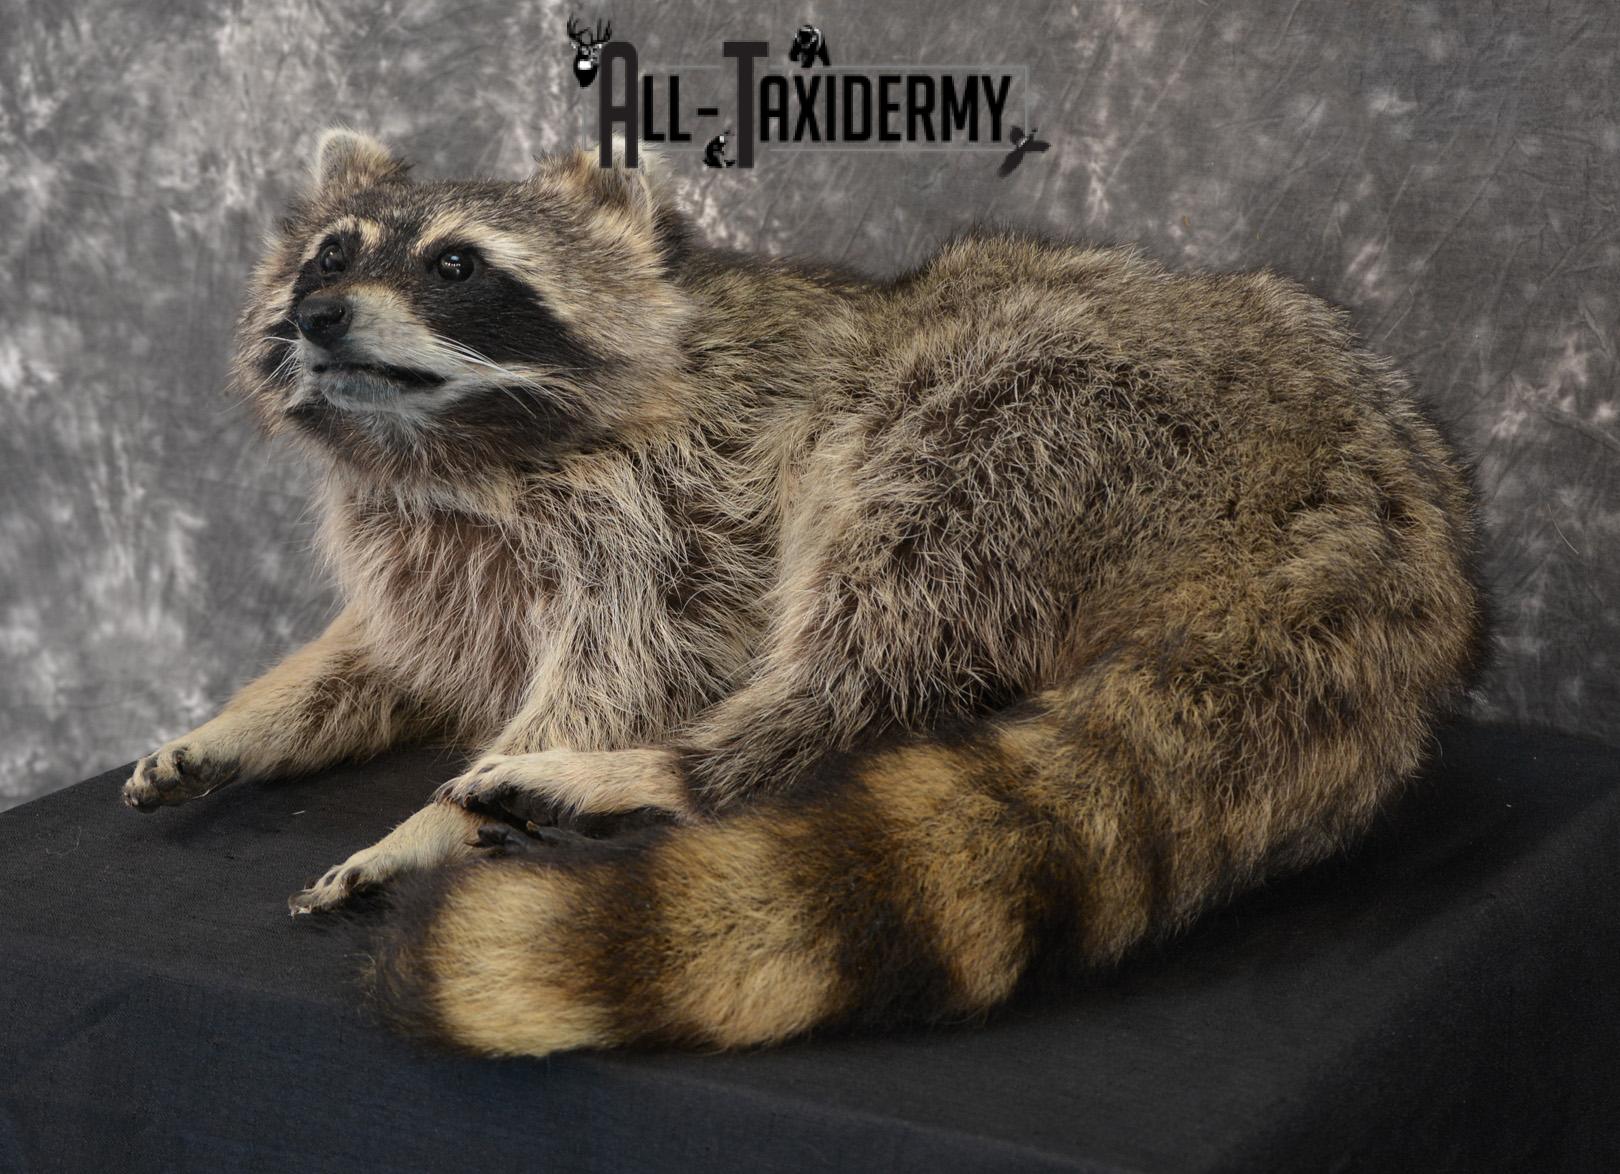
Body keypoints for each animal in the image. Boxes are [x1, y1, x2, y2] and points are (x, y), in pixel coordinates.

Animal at [121, 129, 1484, 1057]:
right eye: (329, 250)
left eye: (455, 263)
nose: (318, 310)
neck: (445, 449)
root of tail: (1356, 492)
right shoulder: (440, 553)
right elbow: (391, 653)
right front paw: (245, 720)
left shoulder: (679, 517)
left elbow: (619, 672)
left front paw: (426, 822)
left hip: (1044, 414)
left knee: (882, 607)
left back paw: (686, 768)